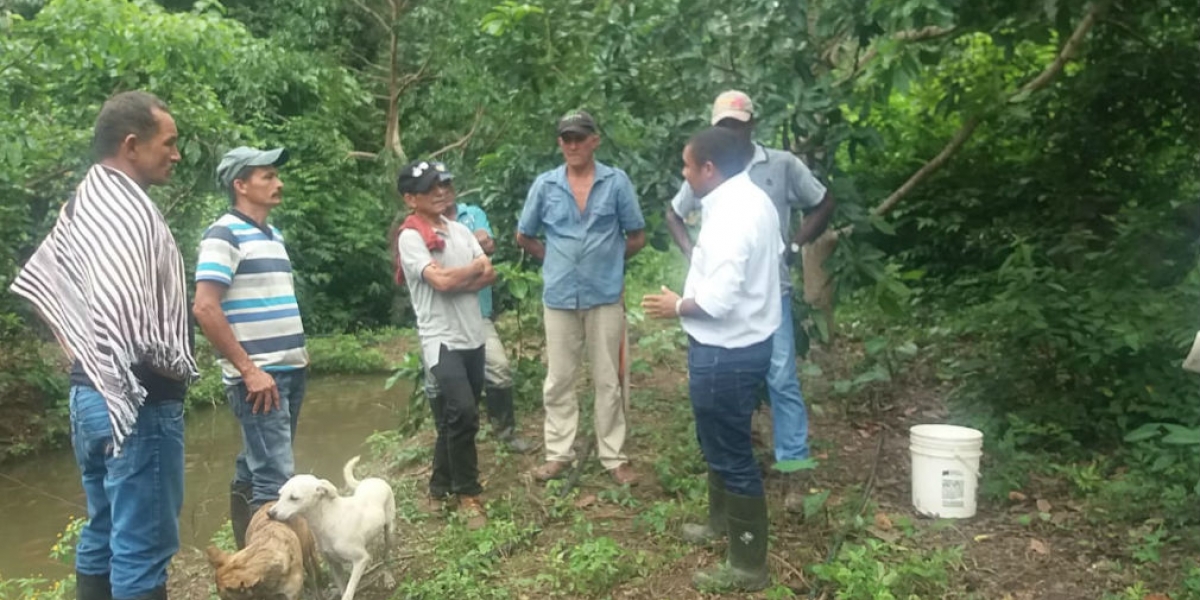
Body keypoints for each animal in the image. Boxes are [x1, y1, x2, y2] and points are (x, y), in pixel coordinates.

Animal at [270, 453, 396, 600]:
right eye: (280, 495)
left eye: (294, 498)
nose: (270, 513)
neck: (328, 519)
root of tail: (373, 480)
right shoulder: (334, 564)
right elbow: (342, 589)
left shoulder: (361, 560)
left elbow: (348, 593)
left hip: (389, 532)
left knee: (386, 556)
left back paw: (388, 577)